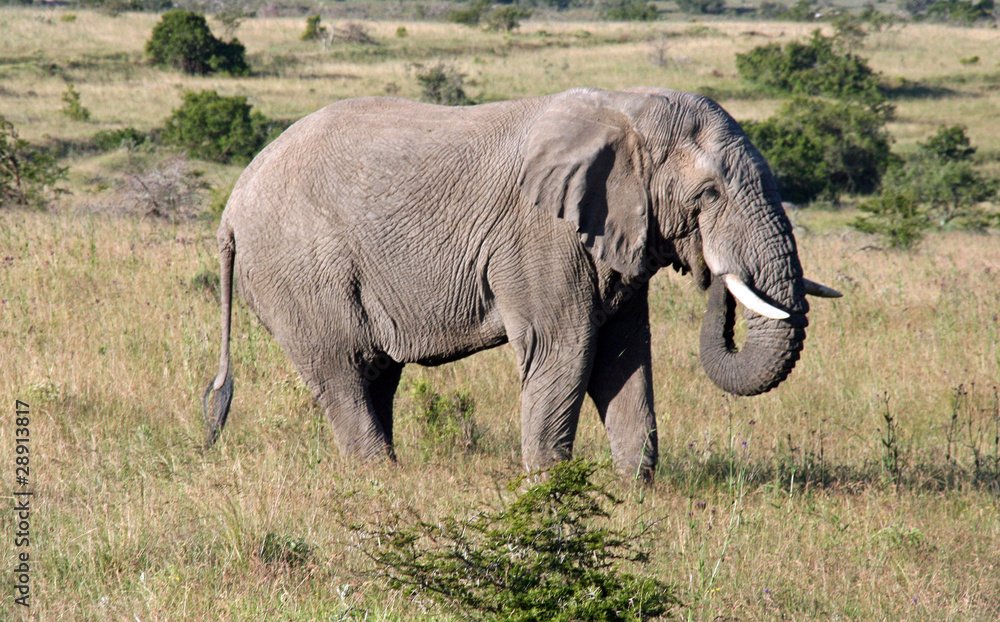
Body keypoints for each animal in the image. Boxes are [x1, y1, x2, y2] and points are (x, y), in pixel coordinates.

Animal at [203, 86, 840, 480]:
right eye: (708, 194)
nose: (712, 271)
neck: (627, 109)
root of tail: (231, 210)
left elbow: (625, 354)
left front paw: (634, 489)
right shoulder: (538, 236)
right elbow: (565, 349)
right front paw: (549, 490)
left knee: (376, 373)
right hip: (301, 269)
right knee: (344, 369)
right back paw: (380, 479)